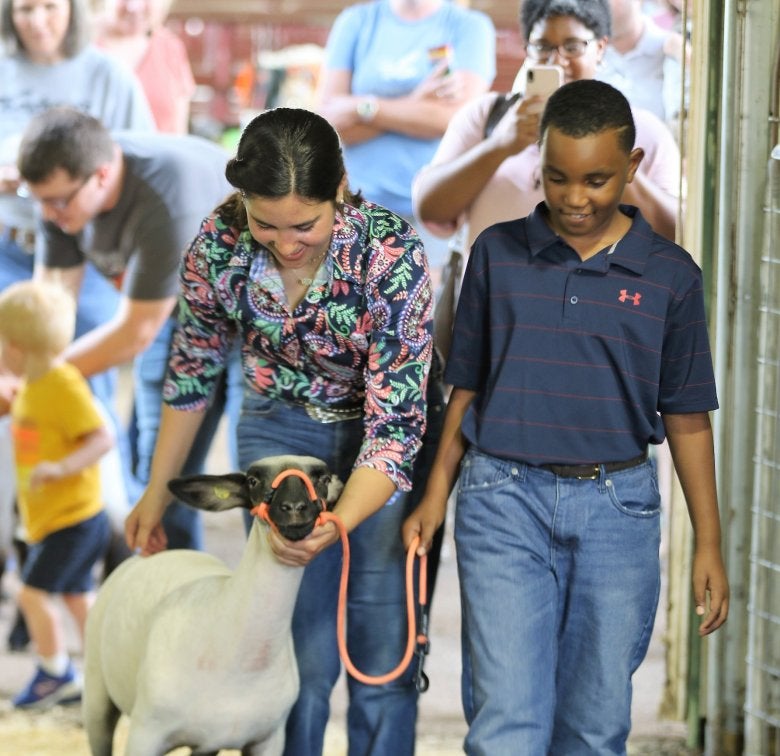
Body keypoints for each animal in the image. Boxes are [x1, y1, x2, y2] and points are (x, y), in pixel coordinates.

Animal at [84, 454, 342, 756]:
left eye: (322, 478)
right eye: (253, 480)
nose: (293, 508)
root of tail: (154, 554)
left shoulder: (269, 738)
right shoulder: (145, 734)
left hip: (207, 744)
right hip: (96, 695)